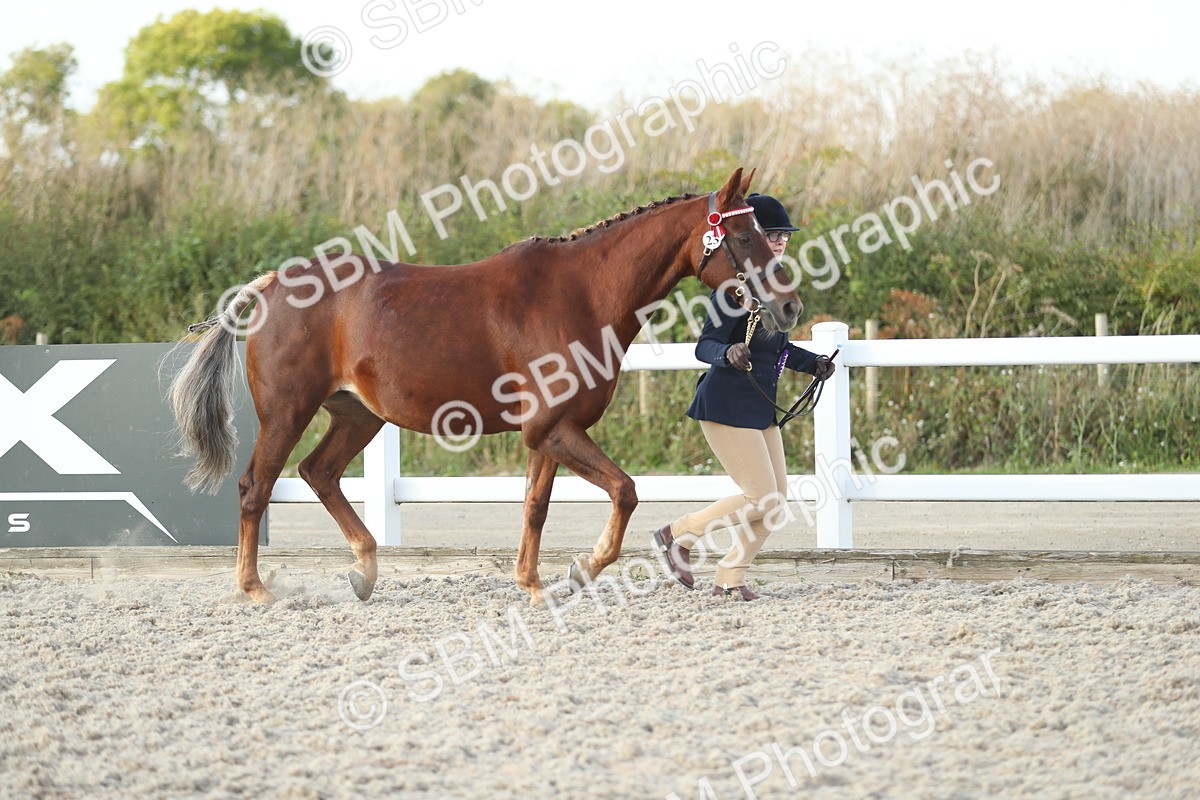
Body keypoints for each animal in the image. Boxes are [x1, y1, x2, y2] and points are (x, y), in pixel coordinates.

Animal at [169, 168, 803, 605]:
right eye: (744, 237)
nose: (791, 307)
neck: (581, 295)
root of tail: (272, 285)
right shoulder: (553, 429)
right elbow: (625, 491)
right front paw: (581, 570)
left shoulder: (549, 432)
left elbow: (536, 506)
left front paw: (536, 583)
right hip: (287, 412)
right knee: (256, 487)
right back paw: (257, 589)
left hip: (357, 415)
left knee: (318, 473)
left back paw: (364, 572)